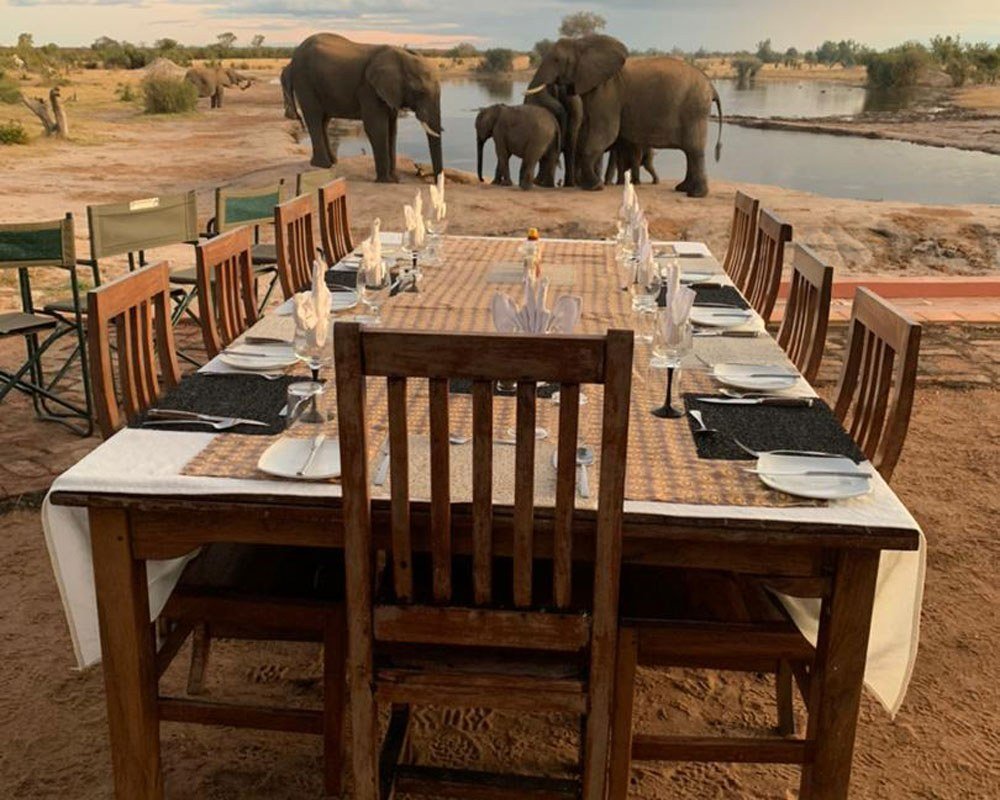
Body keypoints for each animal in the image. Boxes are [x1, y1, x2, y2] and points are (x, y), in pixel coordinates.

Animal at [286, 33, 443, 182]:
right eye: (419, 92)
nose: (432, 180)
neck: (400, 54)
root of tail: (292, 60)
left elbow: (392, 129)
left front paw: (394, 179)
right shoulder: (368, 89)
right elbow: (377, 128)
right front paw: (386, 181)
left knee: (324, 121)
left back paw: (332, 162)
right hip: (304, 80)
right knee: (315, 118)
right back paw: (323, 165)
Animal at [525, 35, 723, 196]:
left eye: (557, 60)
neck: (581, 43)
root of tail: (711, 86)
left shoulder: (607, 92)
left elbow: (605, 133)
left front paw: (594, 187)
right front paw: (592, 185)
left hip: (694, 109)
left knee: (694, 150)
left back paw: (695, 194)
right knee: (690, 151)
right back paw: (683, 188)